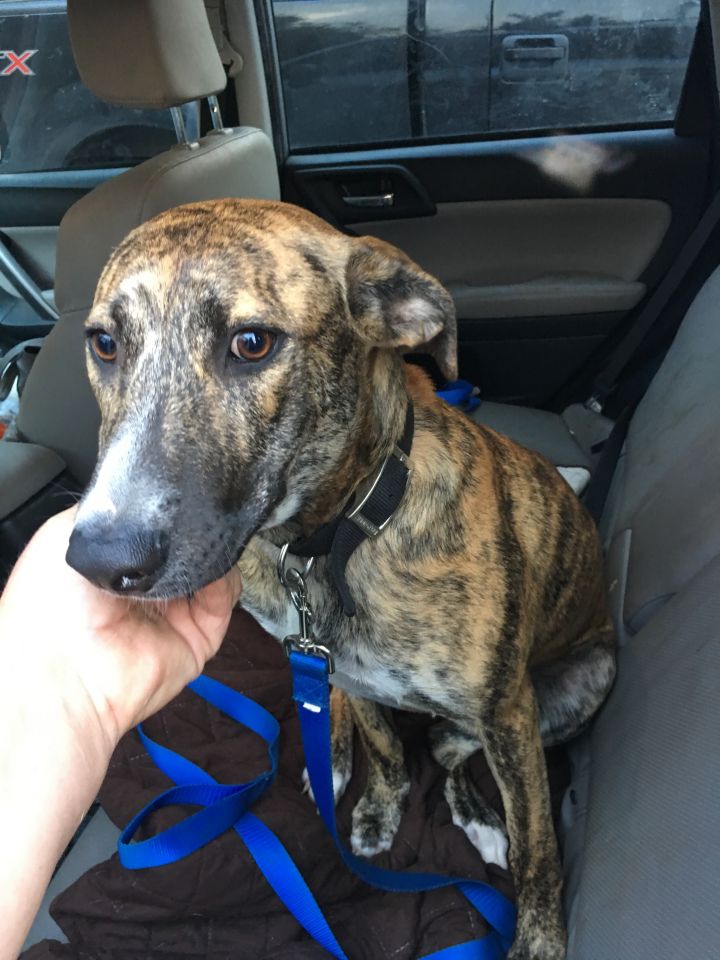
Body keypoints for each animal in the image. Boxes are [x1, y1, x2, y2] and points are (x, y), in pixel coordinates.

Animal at [66, 197, 612, 960]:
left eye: (253, 343)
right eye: (105, 344)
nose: (101, 561)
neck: (329, 543)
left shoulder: (507, 711)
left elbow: (537, 847)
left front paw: (536, 942)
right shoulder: (345, 669)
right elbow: (385, 746)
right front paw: (379, 808)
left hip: (581, 683)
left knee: (453, 751)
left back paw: (475, 811)